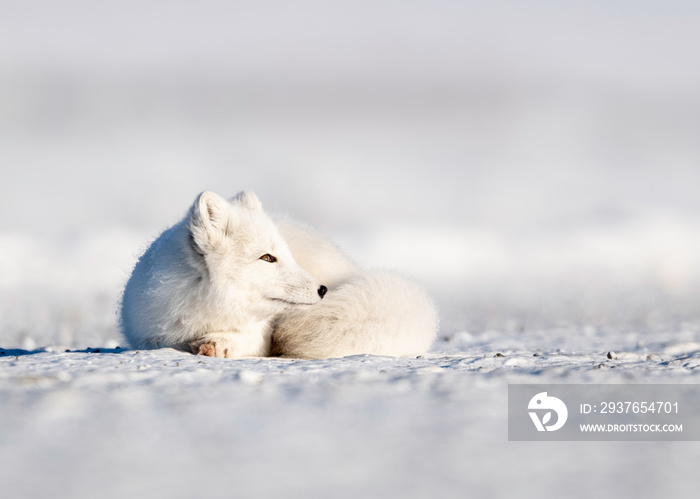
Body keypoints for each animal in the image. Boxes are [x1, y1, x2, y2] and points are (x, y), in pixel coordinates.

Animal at [120, 191, 438, 360]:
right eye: (267, 258)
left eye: (285, 254)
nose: (322, 290)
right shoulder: (147, 335)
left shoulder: (261, 334)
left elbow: (247, 341)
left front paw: (219, 343)